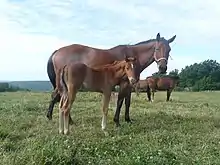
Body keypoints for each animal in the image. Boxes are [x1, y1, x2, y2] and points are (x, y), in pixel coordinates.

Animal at [47, 32, 176, 127]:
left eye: (169, 50)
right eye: (157, 49)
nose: (163, 68)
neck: (133, 57)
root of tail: (57, 52)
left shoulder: (130, 84)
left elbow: (127, 102)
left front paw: (128, 119)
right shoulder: (124, 83)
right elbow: (120, 102)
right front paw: (117, 121)